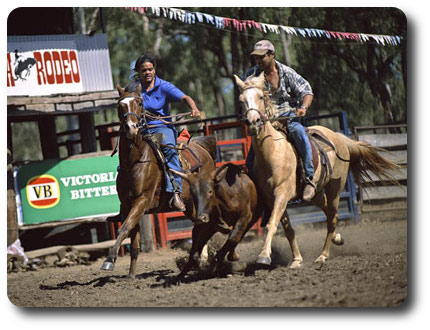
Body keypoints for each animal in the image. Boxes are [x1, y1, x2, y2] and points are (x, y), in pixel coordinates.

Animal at [100, 84, 215, 278]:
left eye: (139, 103)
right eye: (120, 106)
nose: (131, 127)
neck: (135, 161)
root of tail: (202, 147)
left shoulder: (142, 201)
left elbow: (124, 228)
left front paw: (109, 260)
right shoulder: (127, 204)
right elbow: (133, 238)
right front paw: (131, 275)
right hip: (189, 205)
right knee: (198, 226)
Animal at [235, 72, 400, 268]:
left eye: (261, 97)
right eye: (241, 100)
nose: (253, 122)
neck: (273, 151)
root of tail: (339, 138)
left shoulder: (282, 193)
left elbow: (272, 224)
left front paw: (264, 256)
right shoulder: (270, 197)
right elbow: (288, 229)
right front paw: (297, 260)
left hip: (335, 188)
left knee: (332, 217)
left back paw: (323, 255)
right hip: (315, 194)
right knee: (328, 212)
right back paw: (337, 238)